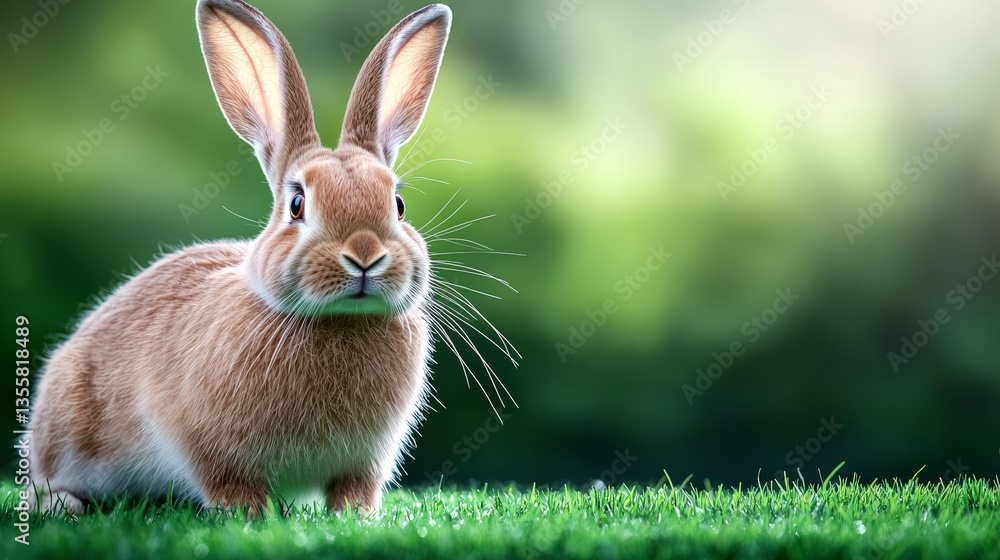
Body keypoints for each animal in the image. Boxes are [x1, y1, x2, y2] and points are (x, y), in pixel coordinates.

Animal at [28, 0, 452, 515]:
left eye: (399, 204)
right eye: (297, 203)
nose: (366, 255)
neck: (339, 320)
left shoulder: (365, 462)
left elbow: (354, 493)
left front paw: (358, 517)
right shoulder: (205, 444)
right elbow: (231, 487)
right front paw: (250, 515)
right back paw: (62, 505)